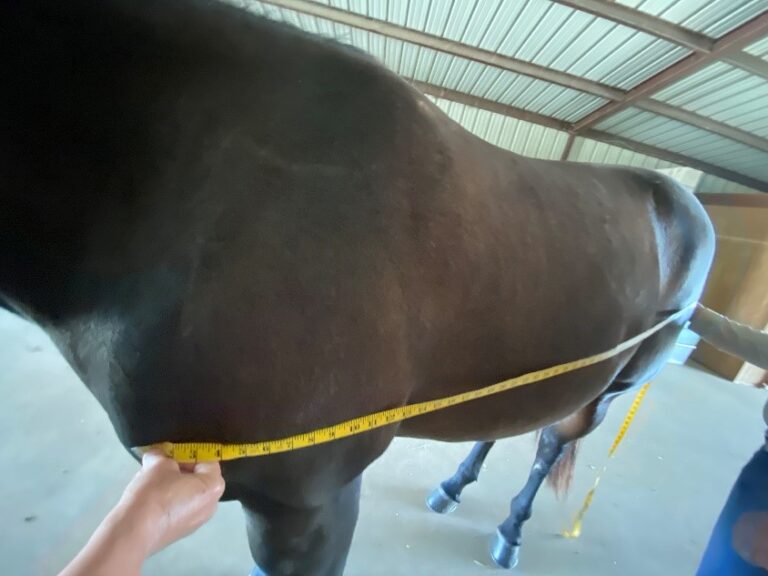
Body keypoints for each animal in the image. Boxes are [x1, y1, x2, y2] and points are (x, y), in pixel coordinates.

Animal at [2, 1, 715, 574]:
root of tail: (687, 202)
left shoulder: (307, 506)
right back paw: (453, 486)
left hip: (613, 385)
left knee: (549, 442)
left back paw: (510, 531)